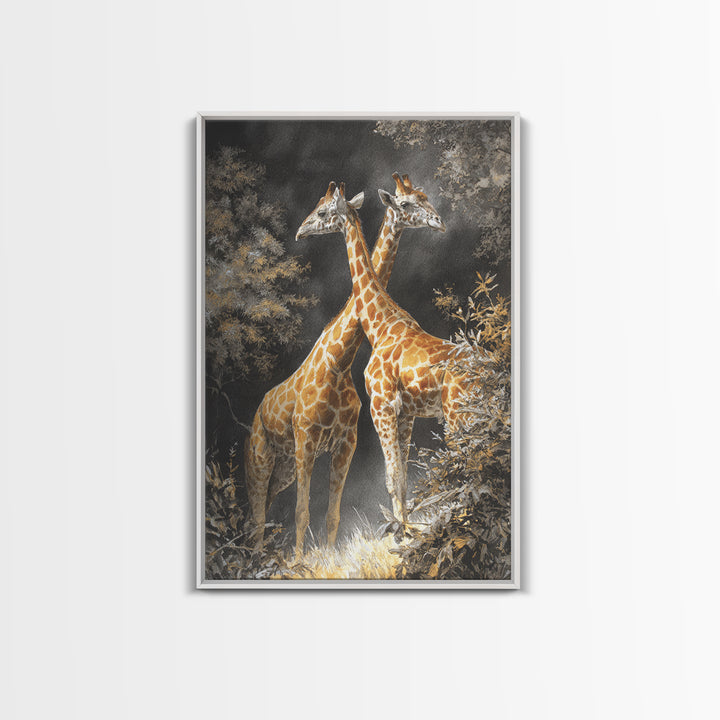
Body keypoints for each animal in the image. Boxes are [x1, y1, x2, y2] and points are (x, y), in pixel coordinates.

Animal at [245, 175, 445, 558]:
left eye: (425, 197)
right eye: (408, 203)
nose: (301, 231)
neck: (339, 361)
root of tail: (258, 407)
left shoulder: (347, 440)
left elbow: (334, 512)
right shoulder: (308, 439)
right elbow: (304, 510)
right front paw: (300, 563)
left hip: (283, 467)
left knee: (264, 509)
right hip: (262, 457)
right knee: (257, 512)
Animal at [296, 182, 475, 528]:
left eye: (322, 212)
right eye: (409, 202)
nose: (300, 231)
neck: (379, 324)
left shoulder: (381, 405)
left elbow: (392, 477)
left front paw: (402, 532)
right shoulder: (405, 413)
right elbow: (402, 477)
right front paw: (405, 529)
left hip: (458, 414)